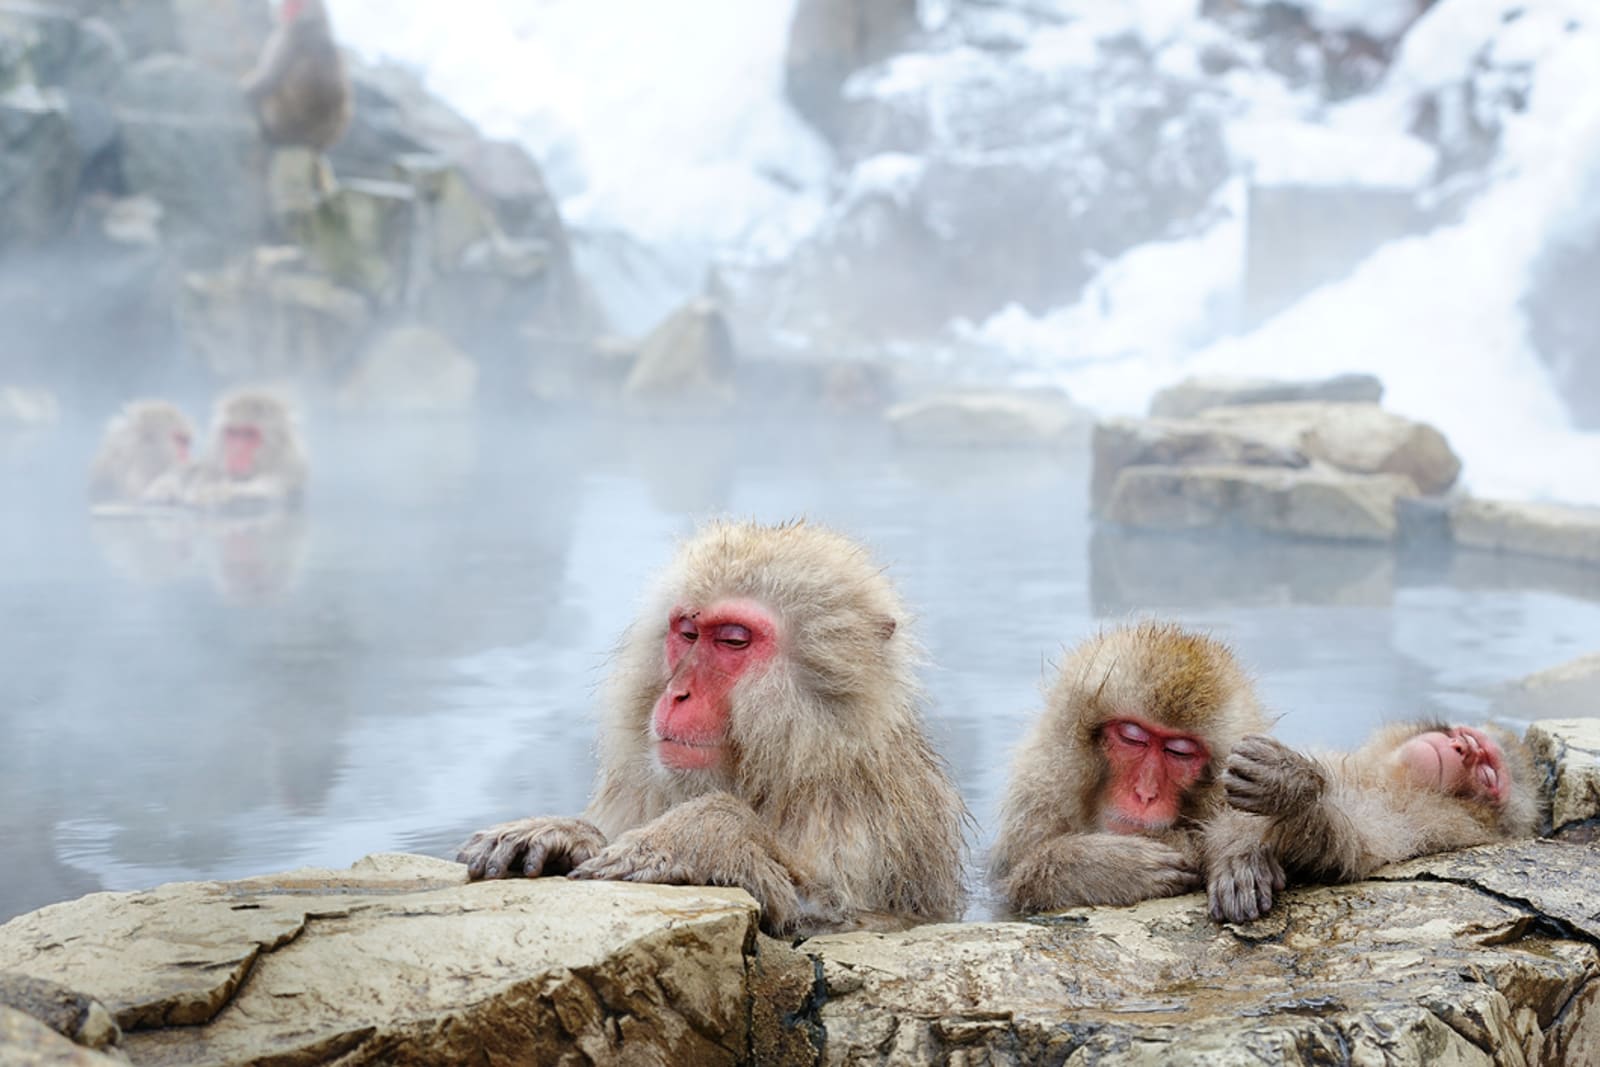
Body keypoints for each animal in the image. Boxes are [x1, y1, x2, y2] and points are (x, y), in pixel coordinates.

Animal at [242, 0, 352, 152]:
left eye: (297, 5)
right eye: (289, 3)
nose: (287, 11)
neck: (312, 22)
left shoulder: (286, 40)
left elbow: (265, 83)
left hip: (279, 117)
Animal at [455, 519, 968, 937]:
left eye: (733, 640)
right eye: (686, 632)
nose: (677, 694)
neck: (792, 762)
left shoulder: (867, 818)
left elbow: (836, 916)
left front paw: (703, 836)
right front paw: (563, 832)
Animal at [988, 622, 1270, 913]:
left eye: (1178, 752)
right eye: (1132, 738)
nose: (1145, 794)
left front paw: (1235, 845)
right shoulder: (1039, 794)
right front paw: (1105, 867)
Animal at [1206, 722, 1542, 923]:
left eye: (1487, 772)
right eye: (1465, 738)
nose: (1462, 749)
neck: (1393, 779)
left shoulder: (1434, 819)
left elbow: (1351, 846)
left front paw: (1290, 786)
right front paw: (1242, 857)